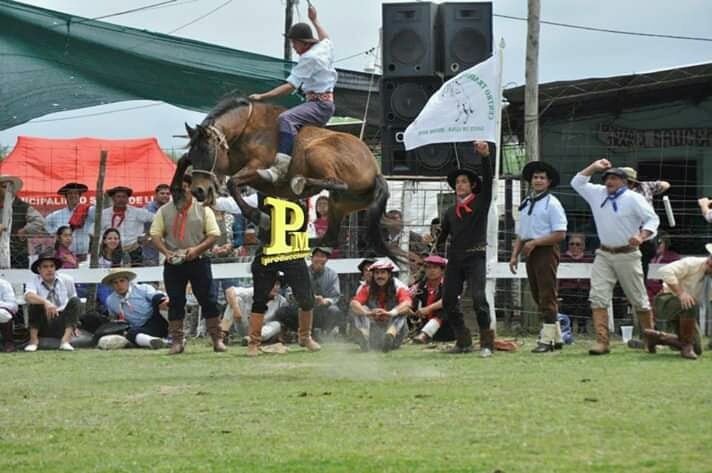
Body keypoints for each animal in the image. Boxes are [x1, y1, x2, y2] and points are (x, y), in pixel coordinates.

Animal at [173, 95, 394, 258]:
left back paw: (300, 183)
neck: (247, 129)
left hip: (316, 150)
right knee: (330, 236)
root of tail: (375, 170)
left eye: (208, 151)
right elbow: (184, 160)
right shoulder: (231, 163)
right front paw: (177, 192)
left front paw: (258, 216)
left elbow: (234, 183)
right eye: (194, 153)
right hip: (340, 204)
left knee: (337, 183)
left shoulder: (256, 168)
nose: (198, 191)